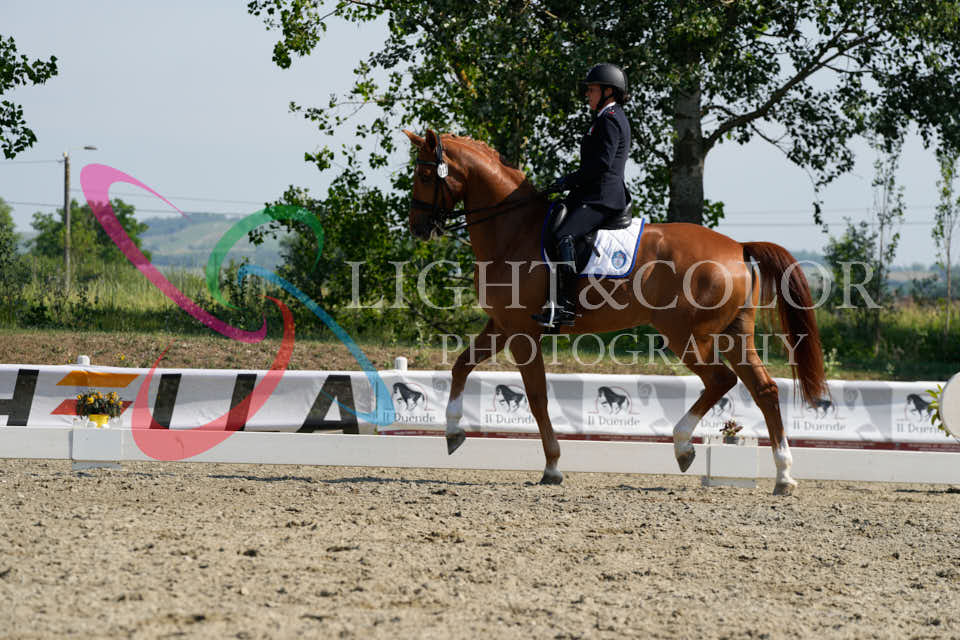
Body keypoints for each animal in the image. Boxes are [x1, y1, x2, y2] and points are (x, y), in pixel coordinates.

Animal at [403, 129, 828, 495]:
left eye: (424, 174)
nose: (418, 228)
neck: (513, 228)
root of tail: (738, 247)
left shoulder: (523, 333)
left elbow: (537, 397)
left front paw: (552, 466)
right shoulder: (503, 325)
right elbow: (461, 365)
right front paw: (453, 432)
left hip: (687, 335)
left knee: (721, 380)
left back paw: (683, 446)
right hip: (732, 333)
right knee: (764, 389)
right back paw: (783, 475)